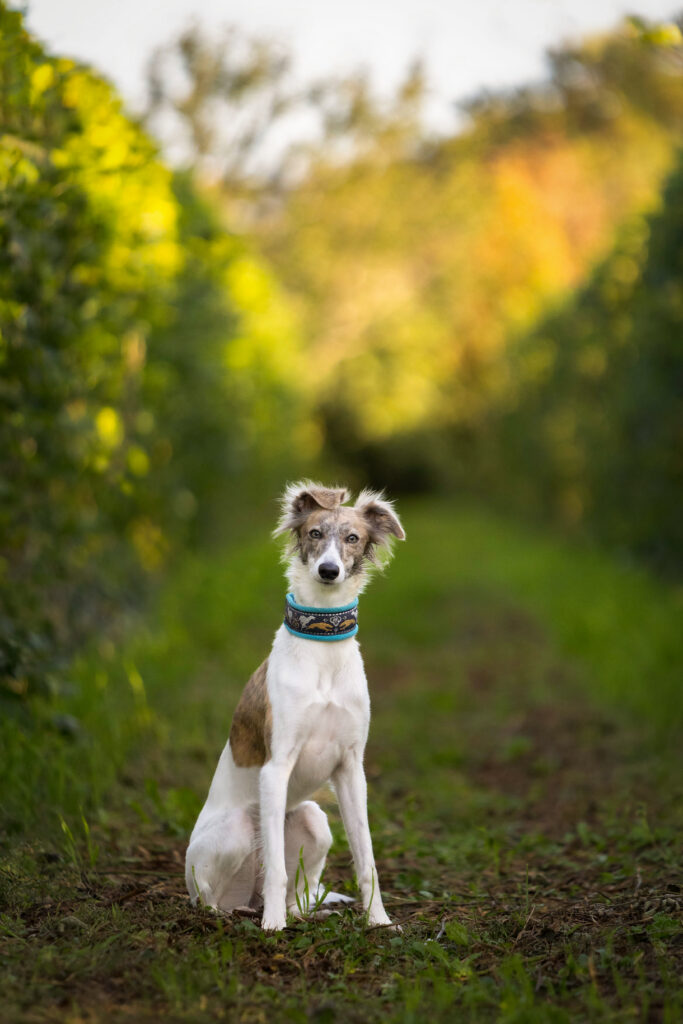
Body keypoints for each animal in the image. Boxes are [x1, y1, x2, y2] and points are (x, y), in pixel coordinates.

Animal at [184, 483, 403, 933]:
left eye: (352, 538)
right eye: (315, 533)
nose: (328, 571)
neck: (322, 645)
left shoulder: (351, 769)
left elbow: (367, 858)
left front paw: (379, 920)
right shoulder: (276, 766)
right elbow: (277, 871)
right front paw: (272, 927)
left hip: (315, 820)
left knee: (295, 894)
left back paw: (302, 912)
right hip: (234, 834)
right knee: (214, 899)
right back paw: (251, 913)